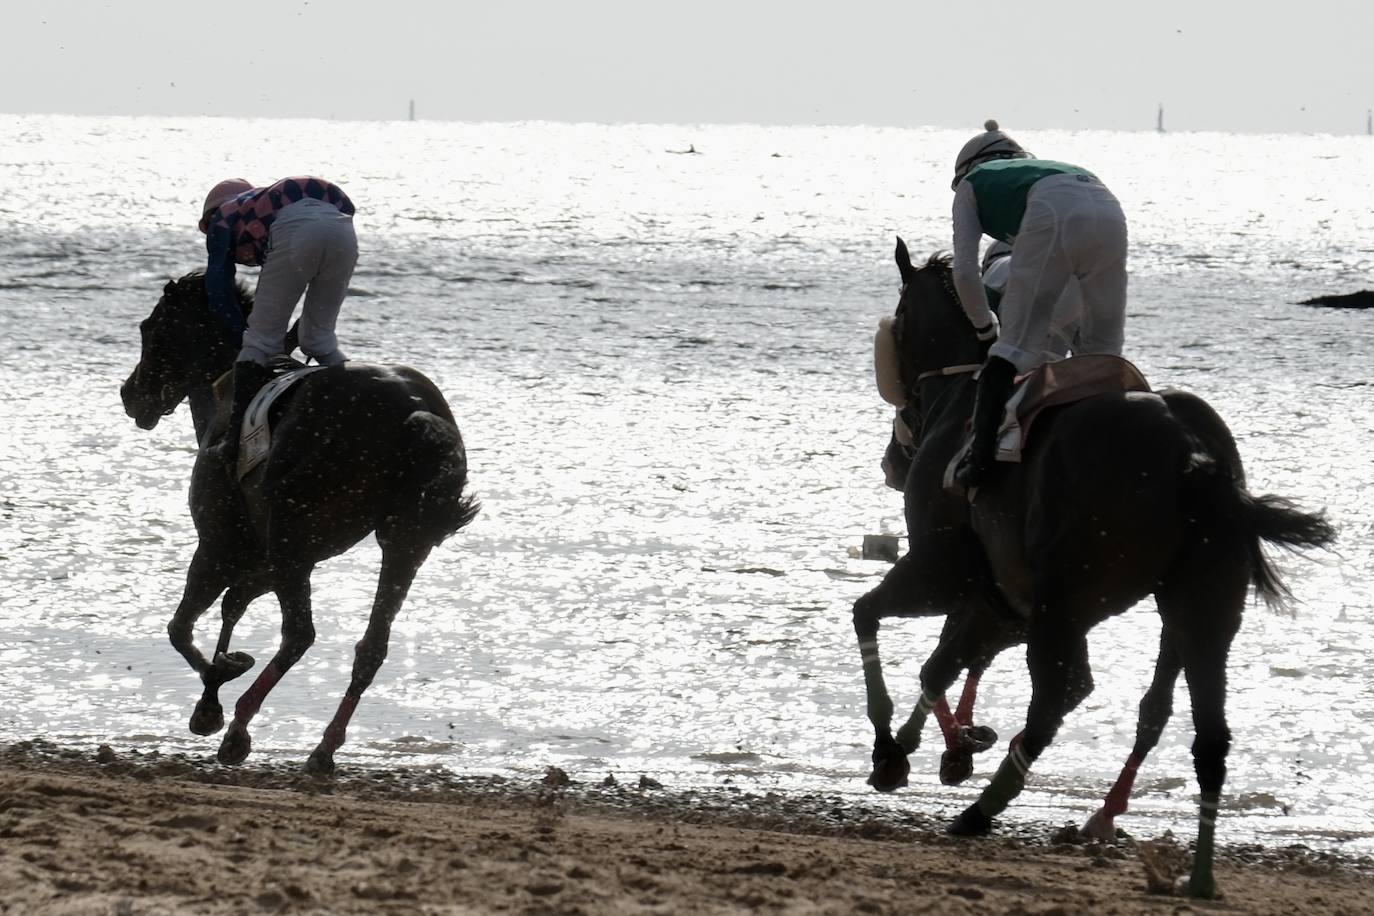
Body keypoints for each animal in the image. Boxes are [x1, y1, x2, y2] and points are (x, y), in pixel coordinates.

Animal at [119, 271, 483, 774]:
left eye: (150, 329)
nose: (129, 394)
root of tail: (414, 411)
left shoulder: (219, 547)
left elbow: (181, 627)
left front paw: (215, 693)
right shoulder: (266, 561)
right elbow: (232, 607)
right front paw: (216, 684)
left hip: (294, 537)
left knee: (299, 634)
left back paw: (239, 727)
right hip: (404, 542)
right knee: (371, 646)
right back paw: (323, 747)